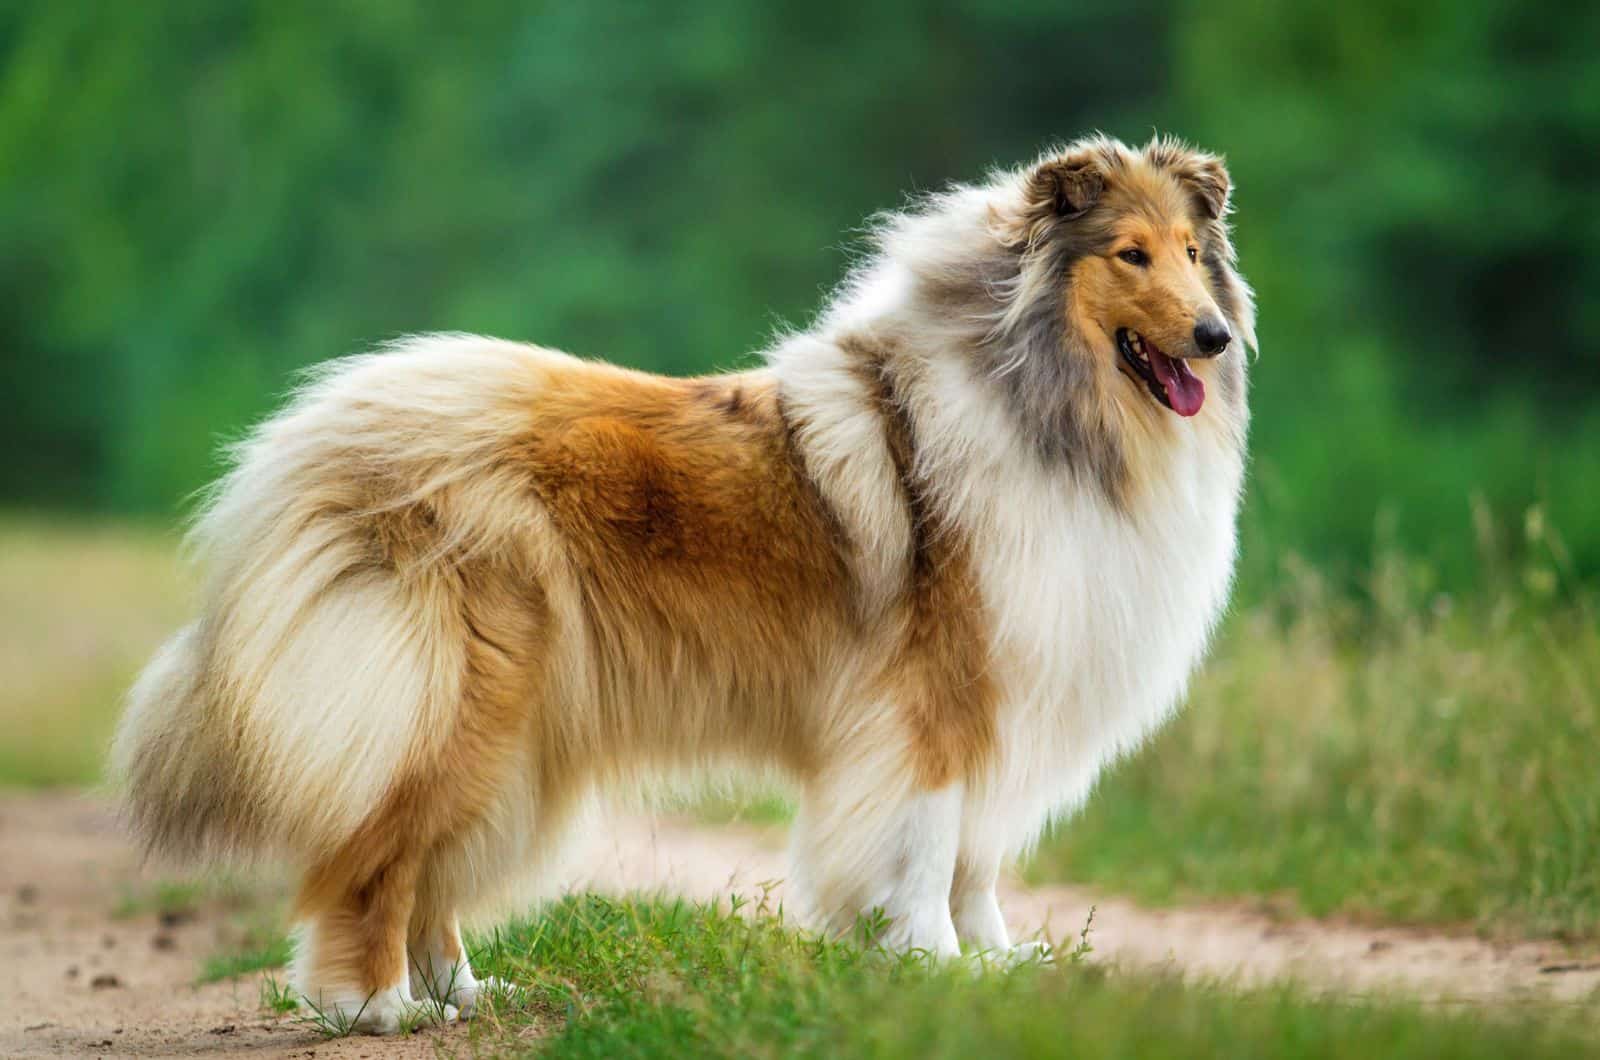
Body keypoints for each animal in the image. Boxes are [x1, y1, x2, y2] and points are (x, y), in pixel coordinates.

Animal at [116, 135, 1260, 1037]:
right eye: (1130, 254)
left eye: (1193, 256)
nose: (1213, 335)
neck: (1051, 407)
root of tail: (317, 437)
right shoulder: (937, 698)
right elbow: (930, 845)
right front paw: (933, 961)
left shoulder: (1002, 698)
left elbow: (975, 857)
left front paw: (995, 962)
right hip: (459, 701)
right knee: (376, 862)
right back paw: (374, 1006)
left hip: (510, 727)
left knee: (430, 865)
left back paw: (462, 996)